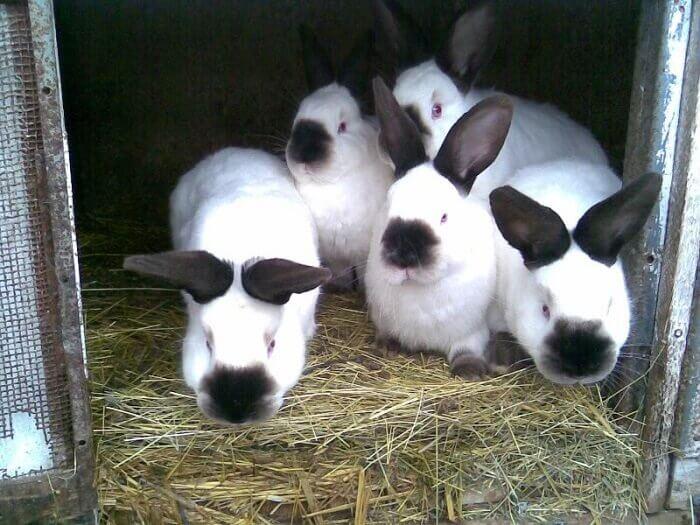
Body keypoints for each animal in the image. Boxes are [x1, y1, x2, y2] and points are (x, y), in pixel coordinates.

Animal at [286, 26, 394, 291]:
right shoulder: (335, 257)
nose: (305, 156)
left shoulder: (363, 253)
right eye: (297, 118)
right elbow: (339, 273)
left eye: (342, 126)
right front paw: (340, 287)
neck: (331, 185)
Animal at [365, 77, 513, 379]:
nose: (404, 254)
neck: (419, 289)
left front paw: (470, 371)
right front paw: (384, 346)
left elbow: (466, 349)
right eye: (388, 204)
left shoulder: (471, 331)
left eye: (444, 217)